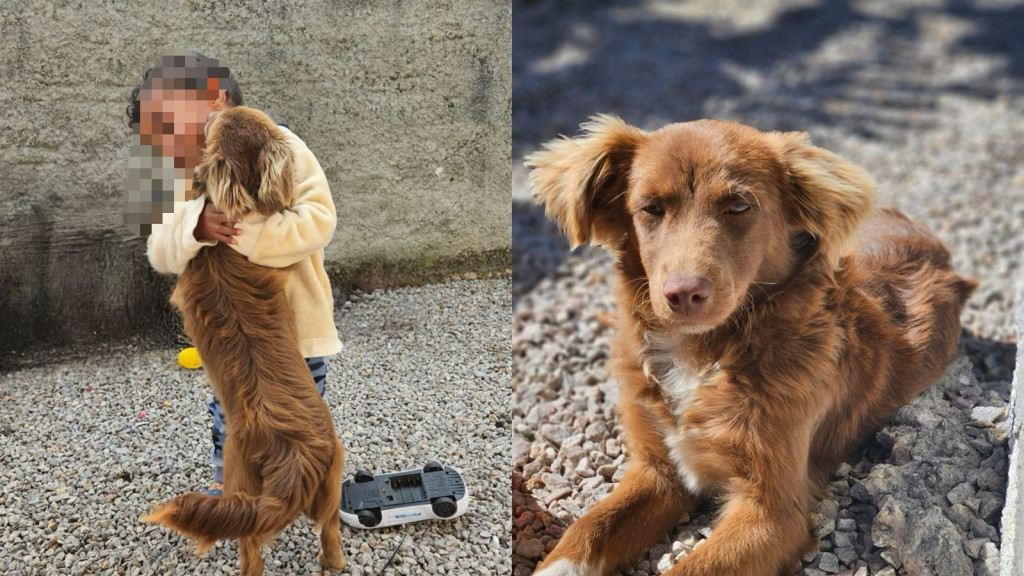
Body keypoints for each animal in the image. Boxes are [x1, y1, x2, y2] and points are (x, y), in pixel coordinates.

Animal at [141, 105, 348, 569]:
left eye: (217, 122)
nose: (215, 107)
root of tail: (294, 452)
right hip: (324, 477)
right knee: (321, 532)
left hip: (260, 481)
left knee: (263, 546)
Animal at [528, 116, 974, 573]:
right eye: (651, 208)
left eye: (739, 206)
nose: (683, 293)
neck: (704, 354)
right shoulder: (656, 469)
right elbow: (588, 528)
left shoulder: (772, 511)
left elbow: (692, 567)